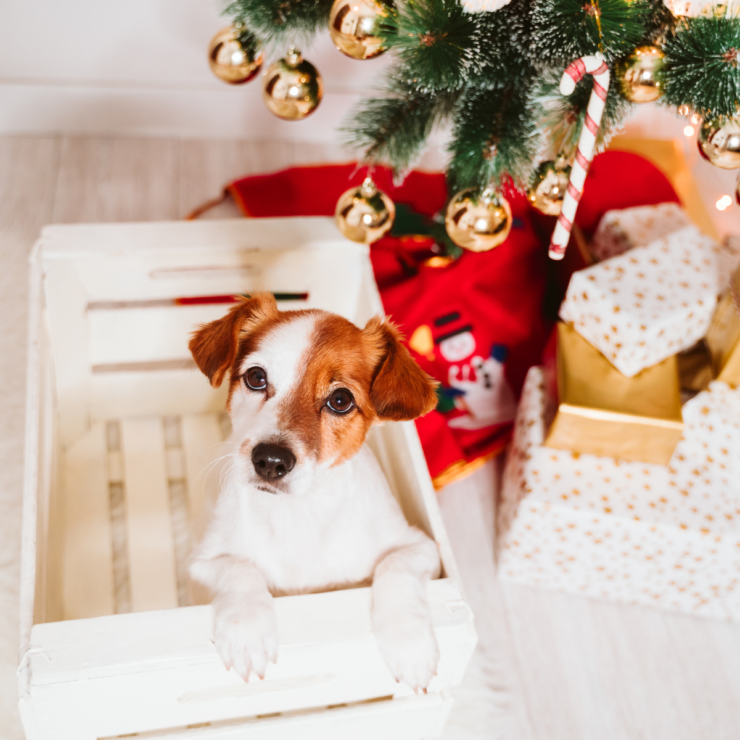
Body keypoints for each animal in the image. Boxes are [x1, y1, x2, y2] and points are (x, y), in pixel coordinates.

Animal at [189, 292, 440, 692]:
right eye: (256, 377)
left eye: (341, 400)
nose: (270, 460)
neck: (297, 514)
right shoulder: (203, 562)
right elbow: (239, 568)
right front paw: (247, 629)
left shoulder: (422, 548)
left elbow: (395, 567)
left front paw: (409, 642)